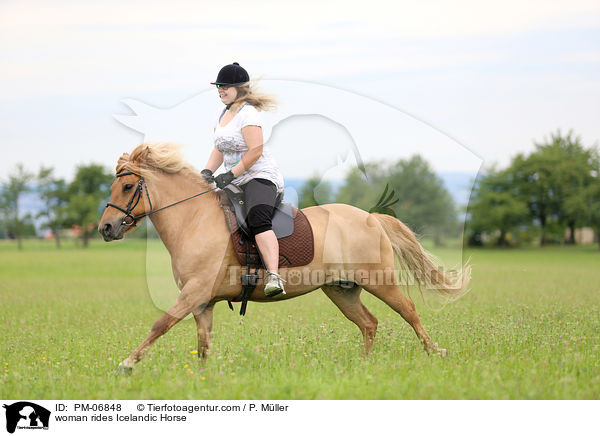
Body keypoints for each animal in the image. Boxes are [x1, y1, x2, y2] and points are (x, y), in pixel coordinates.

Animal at [98, 142, 472, 372]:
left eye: (128, 187)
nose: (105, 228)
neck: (195, 219)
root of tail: (371, 217)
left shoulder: (194, 292)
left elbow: (160, 324)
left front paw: (126, 365)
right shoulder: (203, 301)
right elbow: (202, 344)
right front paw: (201, 379)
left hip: (379, 282)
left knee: (408, 311)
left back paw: (435, 352)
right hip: (341, 289)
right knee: (369, 323)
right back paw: (363, 366)